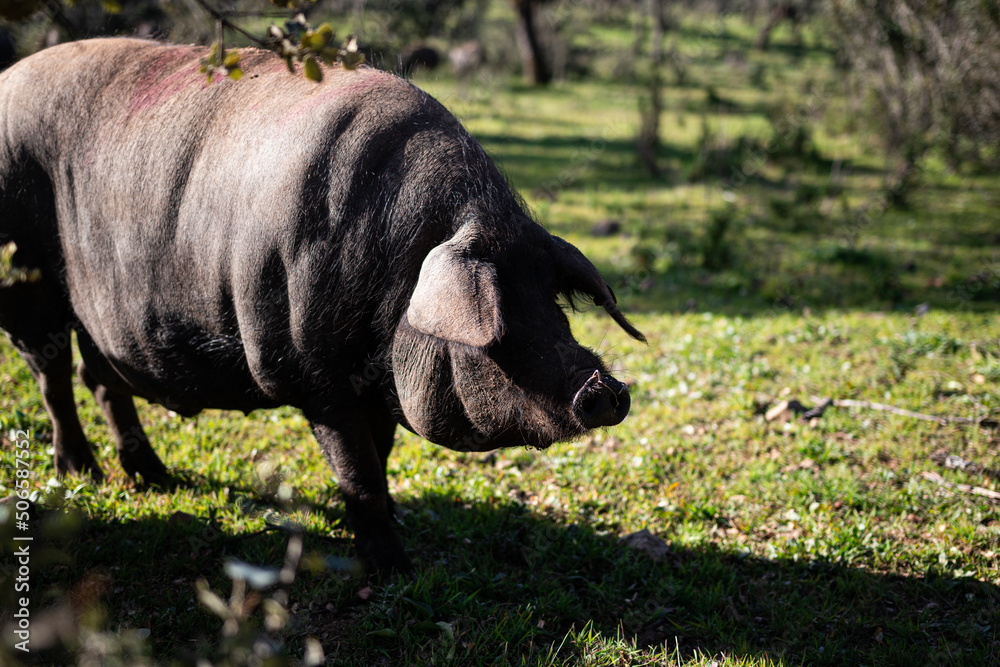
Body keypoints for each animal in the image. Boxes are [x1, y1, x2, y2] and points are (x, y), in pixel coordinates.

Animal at [0, 38, 644, 574]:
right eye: (498, 325)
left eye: (554, 308)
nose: (606, 387)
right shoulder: (314, 377)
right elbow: (357, 472)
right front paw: (393, 570)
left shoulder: (376, 384)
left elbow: (381, 454)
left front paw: (396, 522)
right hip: (24, 280)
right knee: (53, 376)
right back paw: (80, 472)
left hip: (93, 315)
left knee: (100, 377)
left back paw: (155, 480)